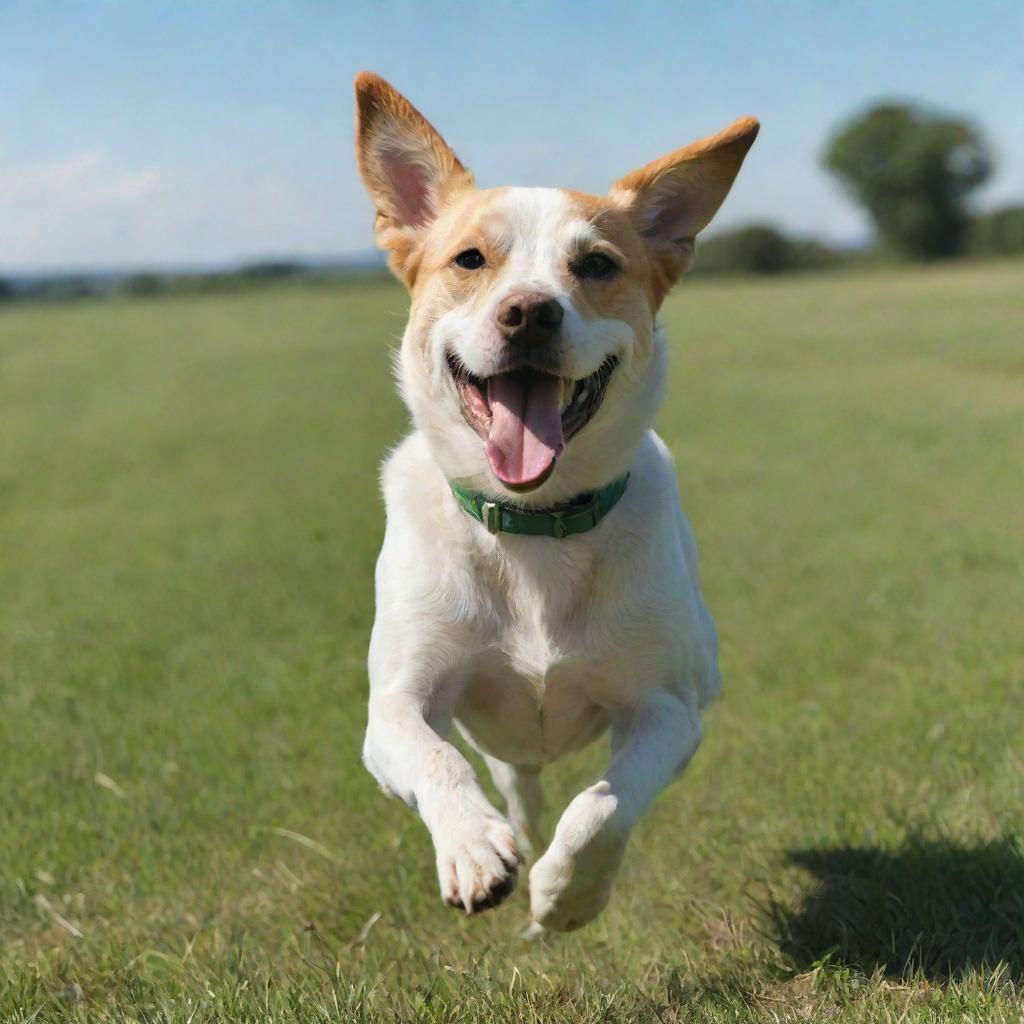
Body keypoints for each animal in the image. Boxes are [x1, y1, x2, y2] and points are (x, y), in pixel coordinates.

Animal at [356, 72, 757, 933]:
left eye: (598, 264)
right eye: (470, 258)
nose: (530, 311)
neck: (536, 529)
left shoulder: (667, 710)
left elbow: (604, 806)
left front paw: (567, 896)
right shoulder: (397, 703)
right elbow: (435, 754)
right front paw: (474, 848)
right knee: (517, 781)